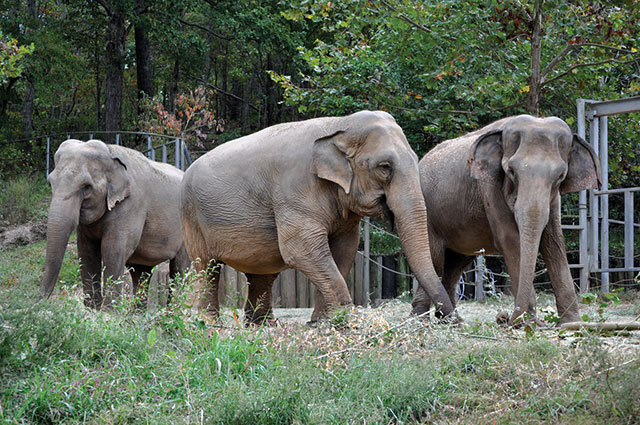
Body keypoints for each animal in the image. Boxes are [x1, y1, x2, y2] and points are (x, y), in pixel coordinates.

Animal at [40, 139, 189, 308]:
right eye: (50, 183)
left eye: (86, 187)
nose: (40, 302)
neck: (110, 152)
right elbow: (86, 251)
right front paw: (92, 309)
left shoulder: (131, 205)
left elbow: (113, 250)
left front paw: (107, 312)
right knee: (141, 273)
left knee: (180, 269)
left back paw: (175, 311)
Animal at [180, 109, 456, 322]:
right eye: (385, 167)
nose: (454, 321)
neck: (339, 126)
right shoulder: (294, 190)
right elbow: (301, 248)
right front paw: (347, 321)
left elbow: (344, 248)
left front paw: (322, 322)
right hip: (192, 218)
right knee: (207, 267)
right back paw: (210, 325)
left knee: (262, 271)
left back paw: (263, 326)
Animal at [412, 114, 604, 322]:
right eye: (511, 171)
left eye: (560, 176)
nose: (503, 317)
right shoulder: (490, 188)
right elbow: (511, 240)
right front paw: (527, 322)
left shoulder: (553, 199)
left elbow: (554, 242)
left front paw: (572, 323)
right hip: (426, 213)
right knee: (435, 259)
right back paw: (422, 320)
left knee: (456, 263)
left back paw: (451, 320)